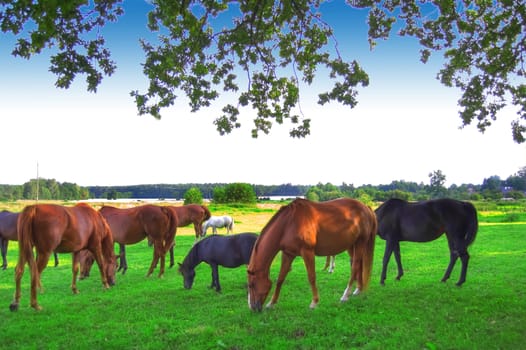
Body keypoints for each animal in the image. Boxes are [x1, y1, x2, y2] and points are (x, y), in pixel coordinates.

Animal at [249, 198, 378, 310]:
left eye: (251, 285)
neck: (289, 223)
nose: (252, 308)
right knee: (359, 265)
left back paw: (345, 295)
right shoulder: (288, 254)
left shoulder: (307, 252)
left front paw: (314, 302)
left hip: (360, 242)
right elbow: (280, 278)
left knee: (355, 266)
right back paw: (358, 290)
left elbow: (311, 277)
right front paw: (271, 303)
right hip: (352, 246)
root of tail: (366, 207)